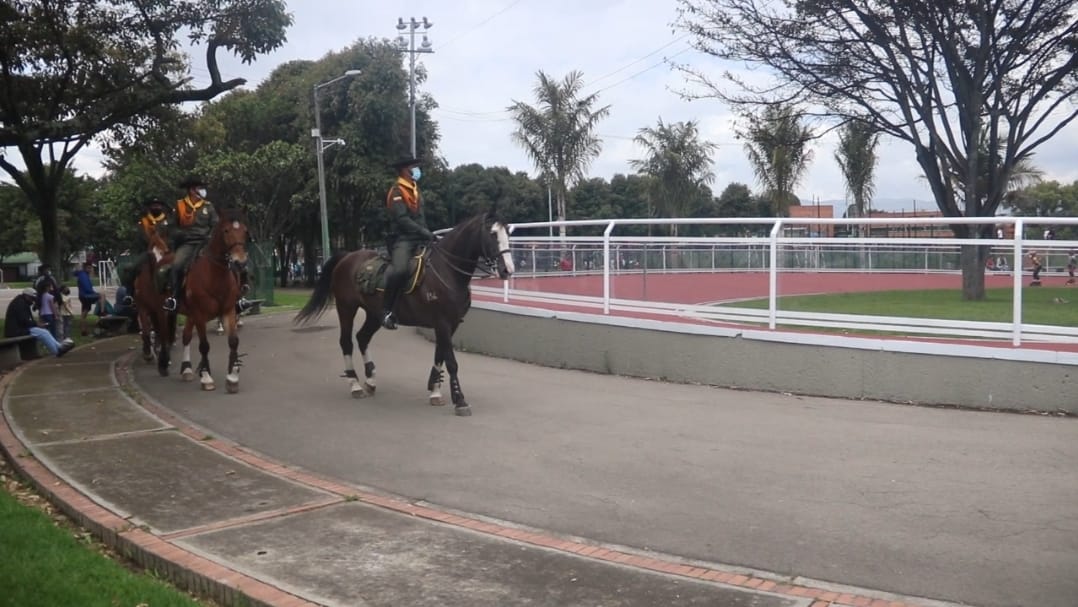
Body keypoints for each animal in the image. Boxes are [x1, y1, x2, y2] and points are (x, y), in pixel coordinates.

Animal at [134, 231, 177, 377]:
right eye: (150, 255)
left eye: (166, 252)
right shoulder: (143, 308)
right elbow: (147, 332)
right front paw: (148, 354)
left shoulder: (163, 310)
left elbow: (163, 332)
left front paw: (164, 361)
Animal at [163, 212, 250, 394]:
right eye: (226, 231)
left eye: (245, 231)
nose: (240, 262)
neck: (214, 273)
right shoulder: (199, 314)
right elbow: (204, 346)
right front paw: (206, 377)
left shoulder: (228, 311)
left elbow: (233, 341)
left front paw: (232, 377)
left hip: (189, 314)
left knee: (186, 337)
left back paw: (187, 369)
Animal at [295, 211, 513, 416]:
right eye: (492, 233)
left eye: (507, 233)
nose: (508, 270)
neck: (446, 271)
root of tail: (347, 256)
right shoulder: (442, 323)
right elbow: (451, 362)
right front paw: (459, 400)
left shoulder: (450, 324)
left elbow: (439, 356)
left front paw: (435, 390)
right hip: (346, 308)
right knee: (346, 342)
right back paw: (355, 384)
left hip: (374, 314)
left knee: (362, 337)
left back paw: (371, 380)